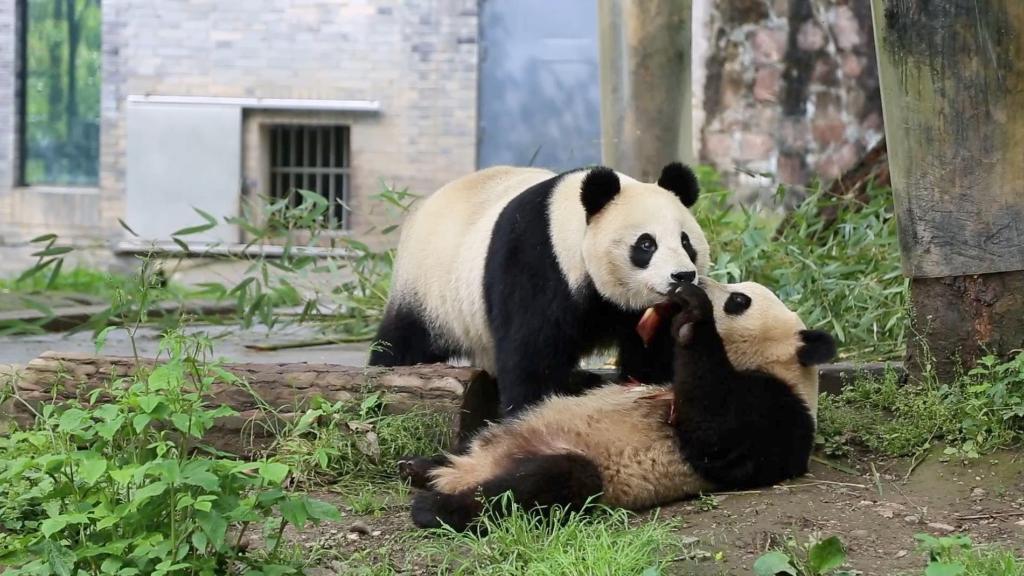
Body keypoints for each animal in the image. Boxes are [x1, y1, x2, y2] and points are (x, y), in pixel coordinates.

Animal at [369, 163, 710, 416]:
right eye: (646, 244)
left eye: (685, 242)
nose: (682, 275)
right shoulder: (537, 262)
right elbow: (531, 350)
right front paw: (530, 410)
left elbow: (650, 349)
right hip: (430, 287)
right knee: (403, 341)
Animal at [403, 278, 837, 531]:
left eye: (738, 299)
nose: (691, 279)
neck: (776, 365)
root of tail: (468, 471)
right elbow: (639, 370)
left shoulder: (778, 412)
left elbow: (717, 434)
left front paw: (693, 317)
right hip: (497, 436)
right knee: (476, 442)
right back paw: (420, 466)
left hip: (575, 471)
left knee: (542, 485)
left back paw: (435, 505)